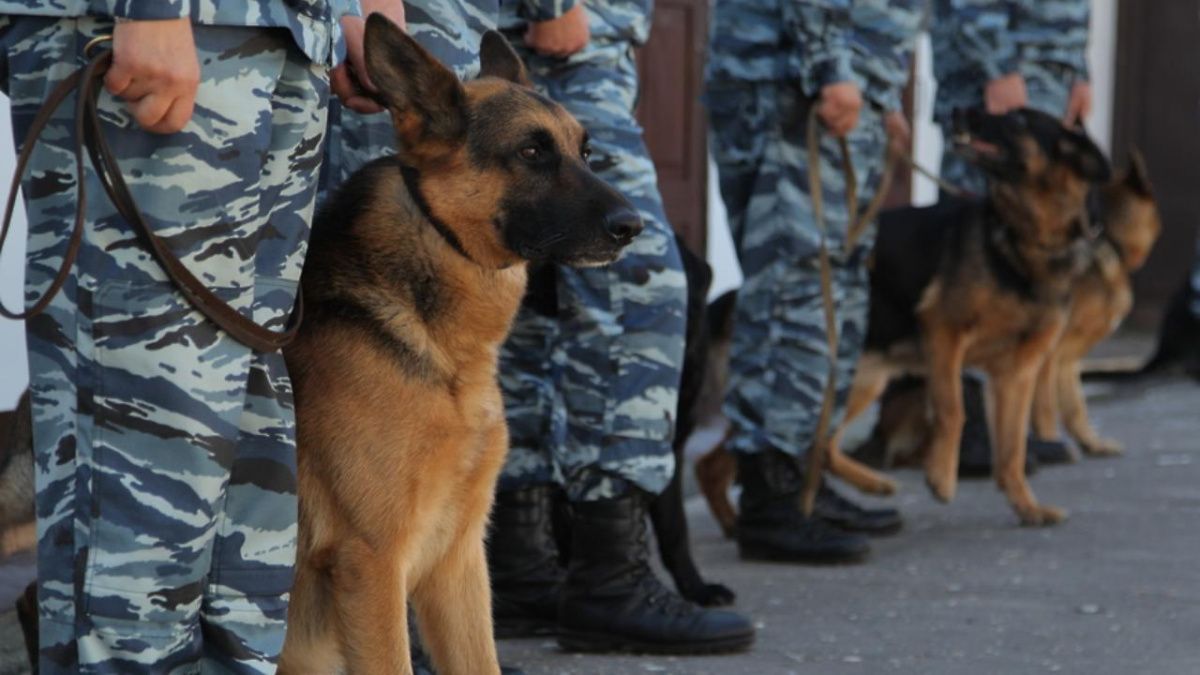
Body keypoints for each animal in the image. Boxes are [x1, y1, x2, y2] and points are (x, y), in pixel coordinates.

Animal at [277, 15, 643, 672]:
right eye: (531, 151)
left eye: (584, 151)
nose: (633, 226)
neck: (444, 351)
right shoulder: (372, 564)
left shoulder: (458, 561)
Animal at [820, 107, 1108, 523]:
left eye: (1019, 120)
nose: (958, 112)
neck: (1025, 239)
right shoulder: (944, 332)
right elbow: (952, 409)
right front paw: (941, 476)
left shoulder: (1017, 374)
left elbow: (1013, 446)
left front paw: (1026, 505)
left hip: (864, 379)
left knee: (823, 446)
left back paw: (873, 484)